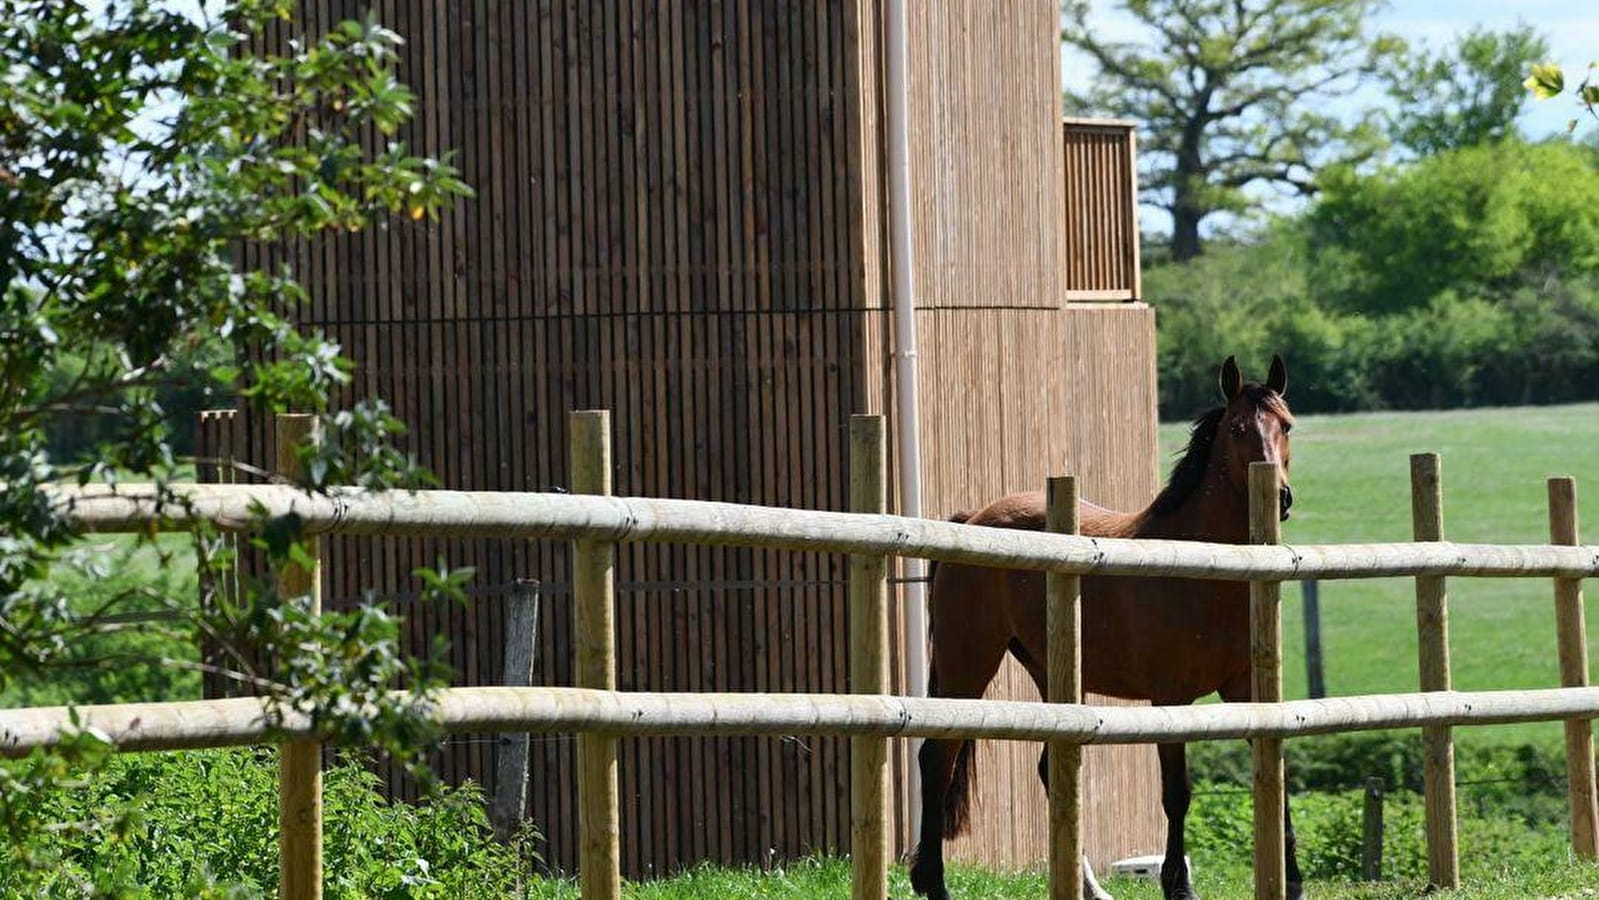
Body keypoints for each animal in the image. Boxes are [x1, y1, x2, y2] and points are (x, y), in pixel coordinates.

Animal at [914, 356, 1298, 900]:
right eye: (1239, 429)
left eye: (1286, 426)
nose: (1281, 498)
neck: (1196, 564)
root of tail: (972, 519)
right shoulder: (1169, 699)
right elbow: (1176, 794)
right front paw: (1178, 886)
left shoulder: (1246, 693)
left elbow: (1275, 779)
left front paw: (1294, 881)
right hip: (967, 662)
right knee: (937, 758)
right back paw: (933, 883)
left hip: (1049, 672)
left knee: (1051, 769)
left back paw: (1089, 887)